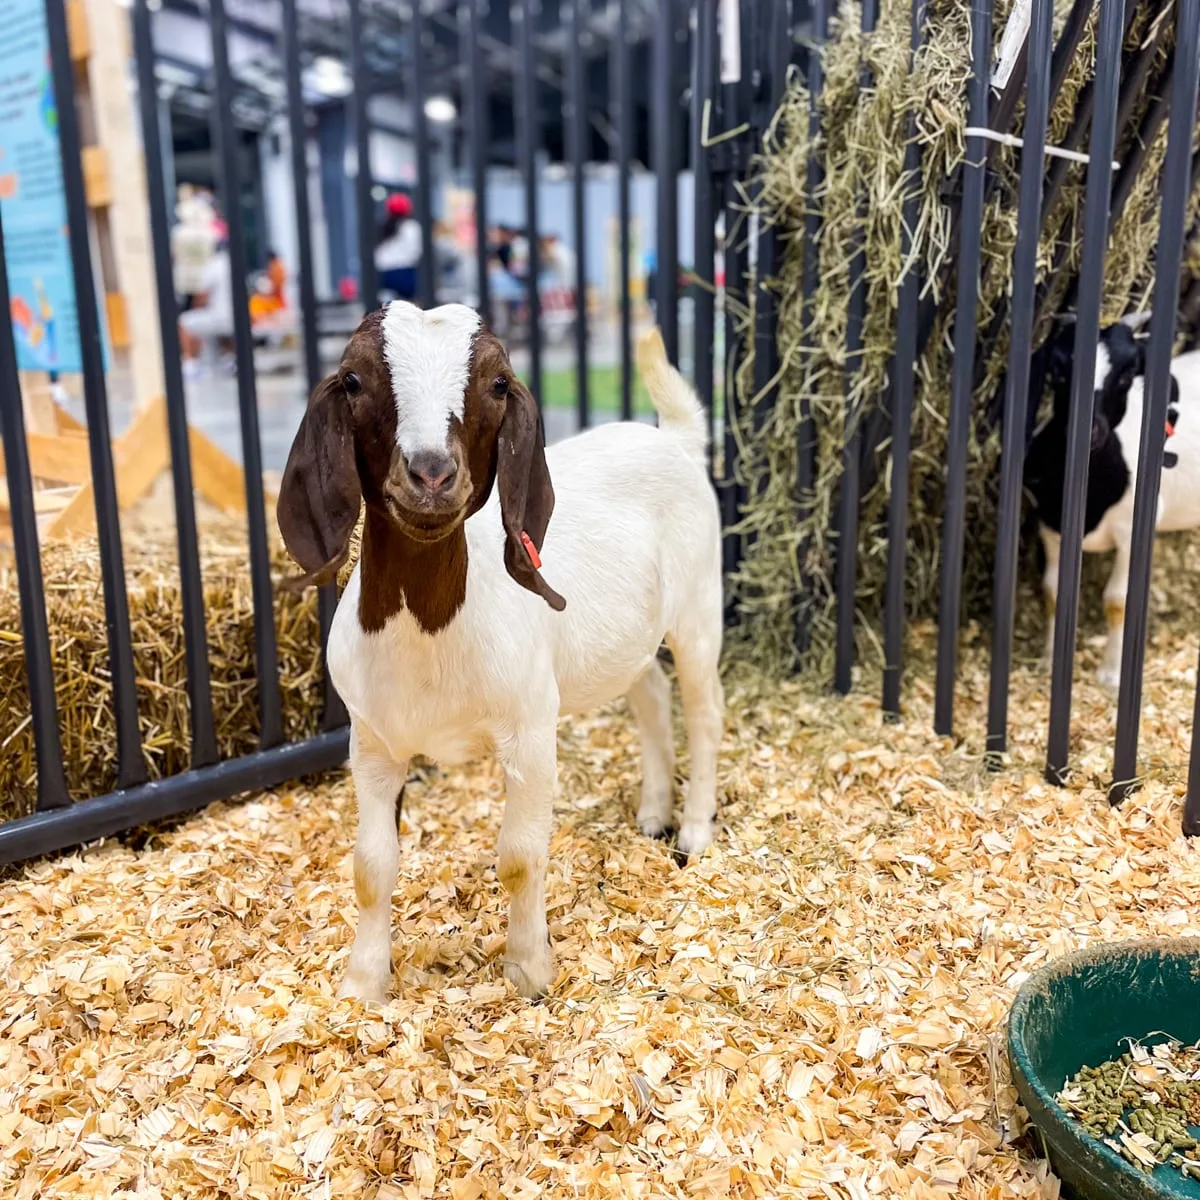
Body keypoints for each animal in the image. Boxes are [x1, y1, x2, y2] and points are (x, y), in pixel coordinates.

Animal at [276, 302, 720, 1003]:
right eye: (352, 379)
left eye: (499, 384)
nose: (431, 472)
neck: (432, 629)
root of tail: (673, 439)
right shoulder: (371, 742)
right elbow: (371, 865)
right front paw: (362, 984)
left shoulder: (531, 730)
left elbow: (519, 856)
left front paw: (530, 971)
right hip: (626, 635)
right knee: (650, 691)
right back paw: (653, 813)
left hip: (699, 605)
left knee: (704, 711)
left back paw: (694, 831)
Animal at [1022, 319, 1200, 691]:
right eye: (1058, 371)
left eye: (1127, 373)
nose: (1089, 430)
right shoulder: (1049, 527)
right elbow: (1053, 592)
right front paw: (1048, 661)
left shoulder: (1131, 531)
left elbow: (1118, 601)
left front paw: (1110, 674)